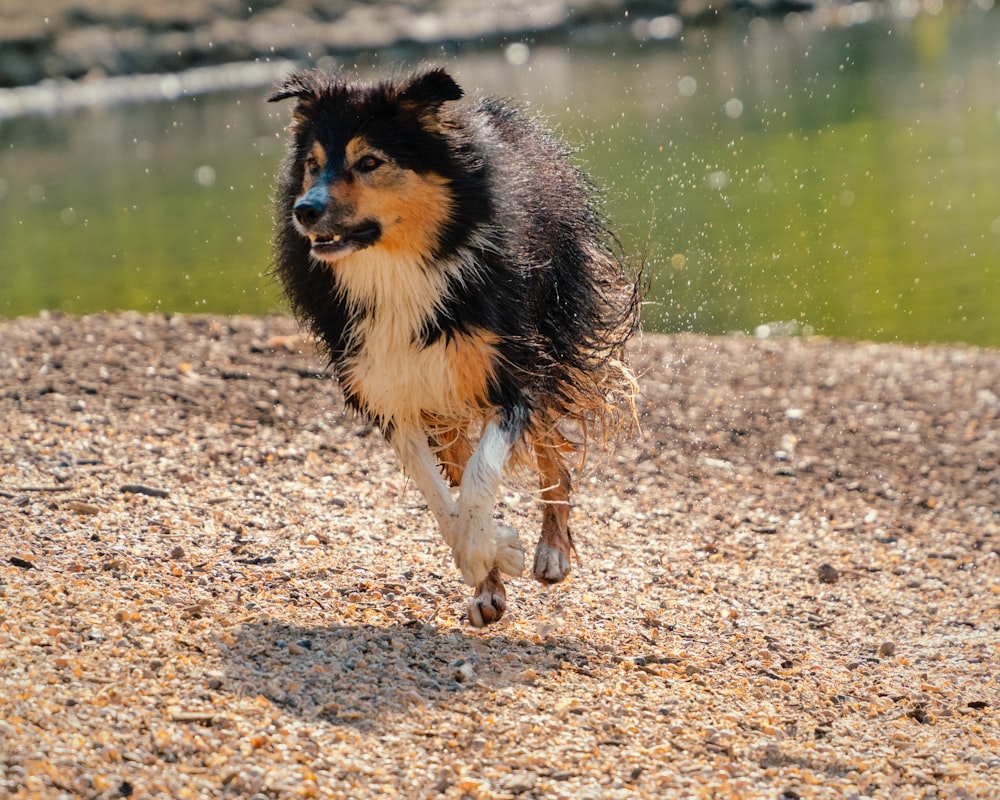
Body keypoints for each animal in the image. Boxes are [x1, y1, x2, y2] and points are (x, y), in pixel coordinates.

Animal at [268, 69, 640, 628]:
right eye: (312, 164)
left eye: (369, 161)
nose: (305, 210)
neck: (398, 271)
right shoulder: (389, 391)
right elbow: (443, 496)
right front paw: (493, 554)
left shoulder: (511, 376)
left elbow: (483, 475)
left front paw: (494, 549)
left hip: (549, 342)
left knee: (555, 457)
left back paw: (552, 551)